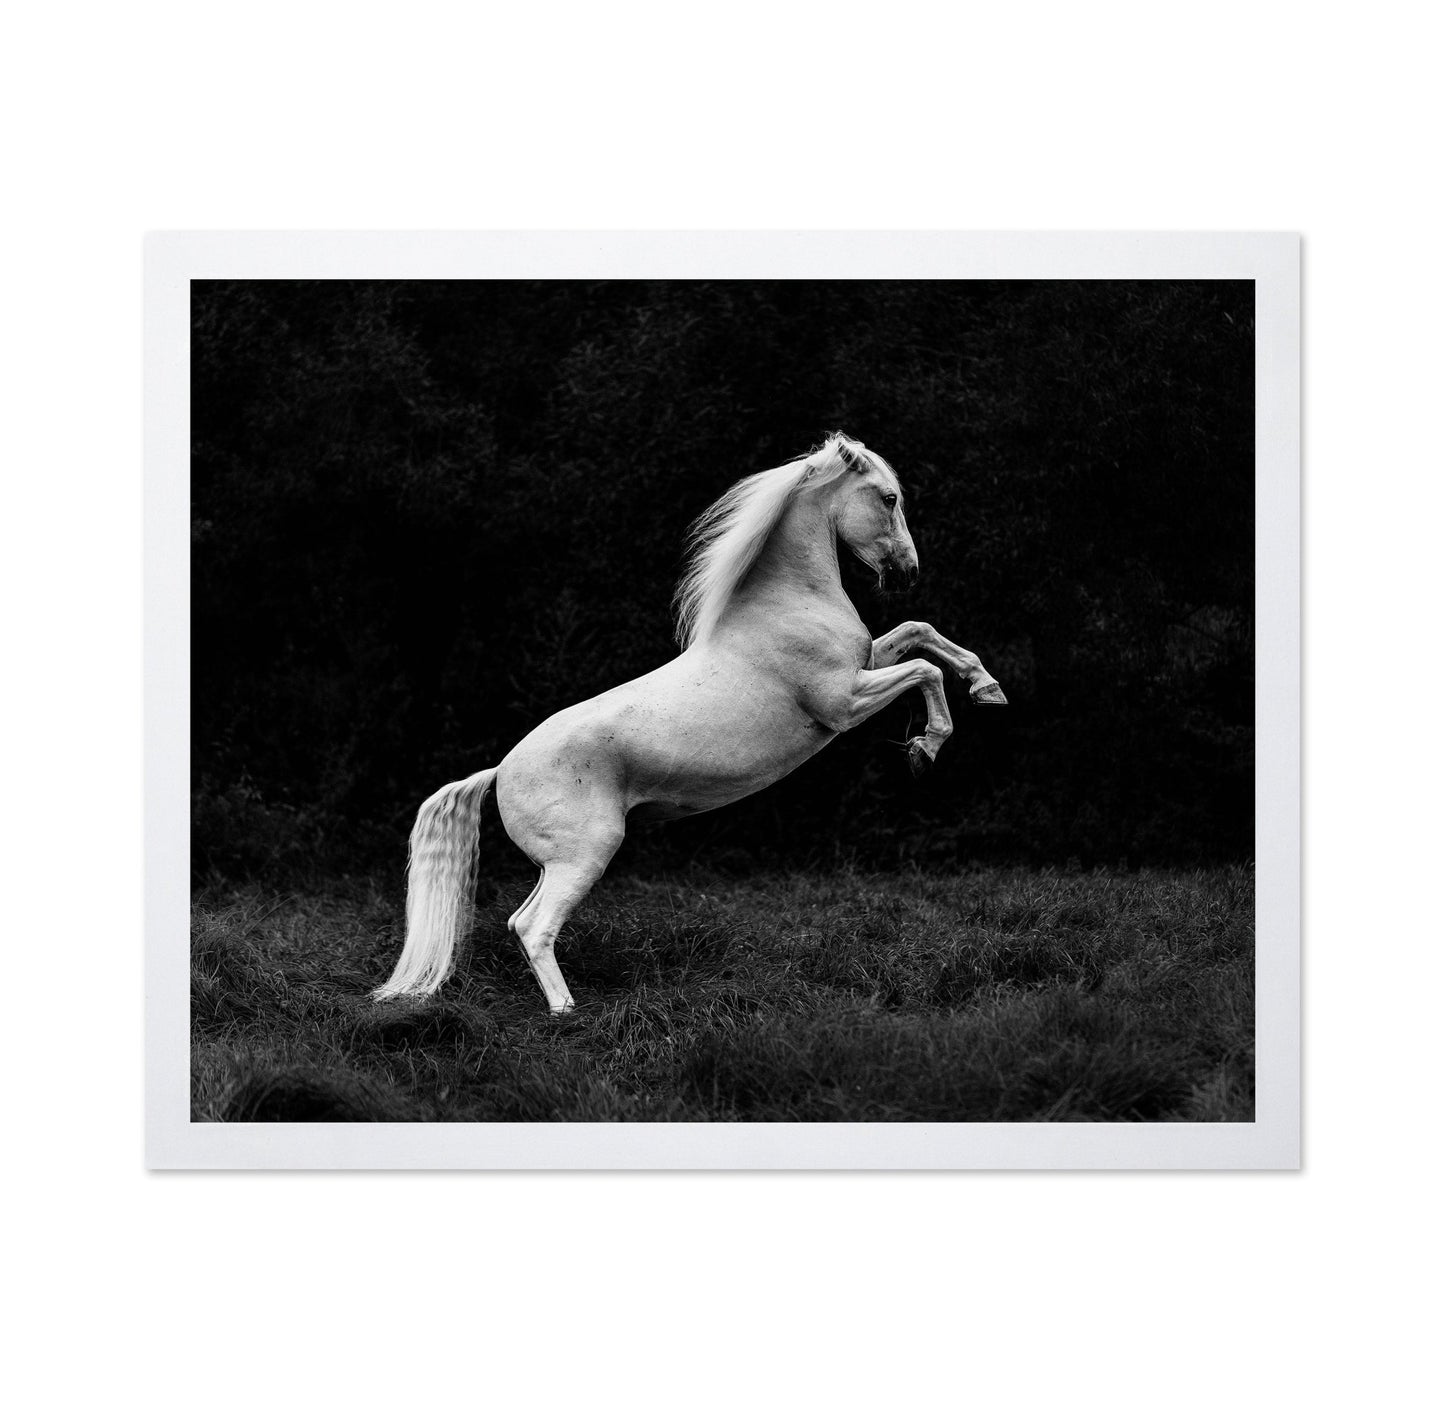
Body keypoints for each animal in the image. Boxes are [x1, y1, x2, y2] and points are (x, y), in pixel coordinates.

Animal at [373, 432, 1007, 1014]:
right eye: (889, 496)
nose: (908, 572)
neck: (787, 606)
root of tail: (499, 771)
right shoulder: (844, 702)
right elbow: (924, 669)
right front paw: (927, 747)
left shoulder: (866, 664)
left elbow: (920, 633)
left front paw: (987, 688)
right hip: (584, 854)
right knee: (534, 927)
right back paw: (568, 1013)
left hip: (557, 863)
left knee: (520, 921)